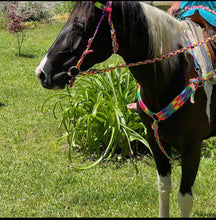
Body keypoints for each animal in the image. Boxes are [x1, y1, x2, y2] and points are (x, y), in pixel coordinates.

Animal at [35, 1, 216, 218]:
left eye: (79, 25)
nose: (42, 72)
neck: (175, 73)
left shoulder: (192, 147)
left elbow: (184, 198)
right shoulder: (155, 140)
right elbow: (164, 188)